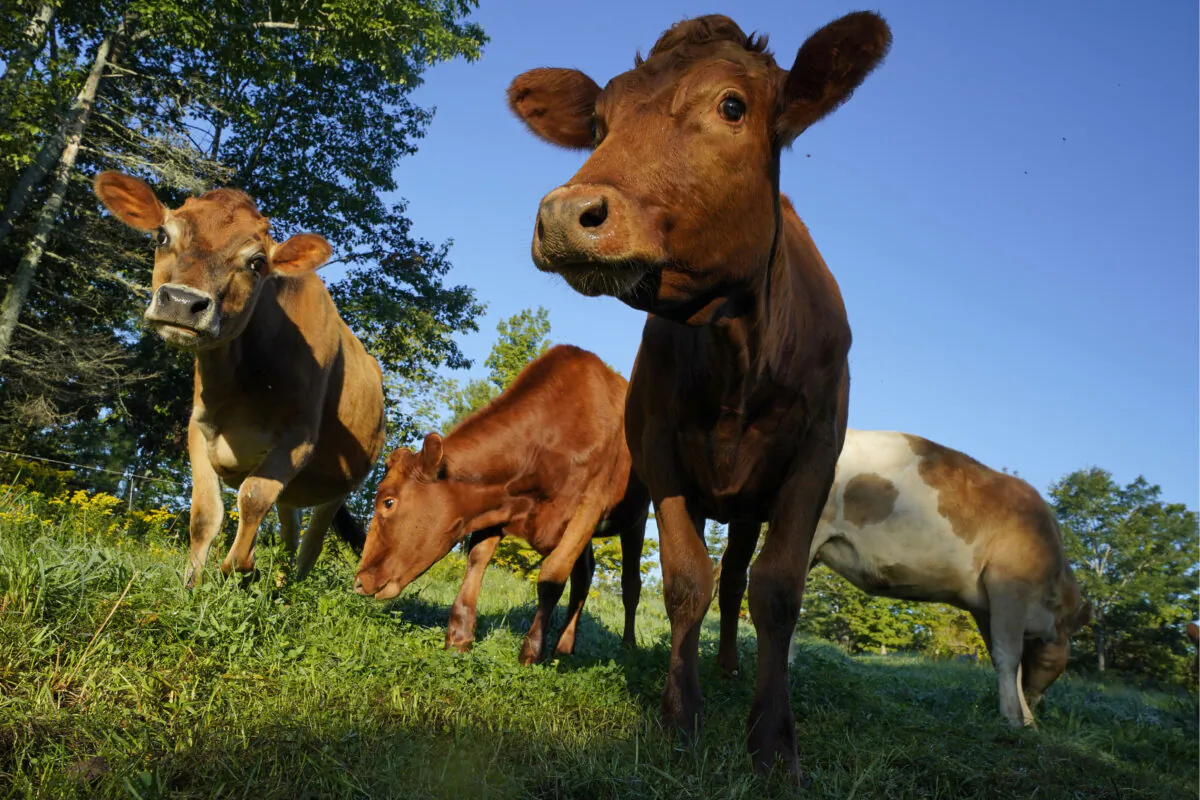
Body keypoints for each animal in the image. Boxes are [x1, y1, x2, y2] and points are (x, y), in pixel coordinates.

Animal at [93, 172, 386, 587]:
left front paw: (240, 566)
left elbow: (252, 498)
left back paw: (291, 585)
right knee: (290, 529)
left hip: (341, 486)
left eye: (257, 262)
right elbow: (204, 514)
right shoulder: (199, 428)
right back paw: (278, 581)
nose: (182, 302)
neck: (239, 388)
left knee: (311, 542)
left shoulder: (298, 441)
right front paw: (192, 584)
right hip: (296, 492)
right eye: (162, 236)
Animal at [353, 344, 651, 664]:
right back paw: (565, 647)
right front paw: (459, 639)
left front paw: (531, 651)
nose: (358, 581)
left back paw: (627, 647)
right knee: (584, 576)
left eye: (388, 502)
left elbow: (552, 576)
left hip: (636, 519)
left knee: (630, 583)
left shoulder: (589, 508)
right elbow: (476, 560)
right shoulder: (495, 506)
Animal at [507, 12, 891, 780]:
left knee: (743, 577)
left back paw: (730, 667)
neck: (738, 351)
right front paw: (680, 716)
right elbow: (687, 579)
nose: (564, 215)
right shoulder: (660, 453)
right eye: (600, 122)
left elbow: (777, 589)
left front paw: (773, 740)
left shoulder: (814, 457)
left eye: (732, 106)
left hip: (750, 504)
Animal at [719, 429, 1094, 727]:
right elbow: (1009, 656)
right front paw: (1020, 720)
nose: (1038, 701)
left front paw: (1017, 711)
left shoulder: (985, 606)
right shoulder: (1009, 587)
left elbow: (1002, 658)